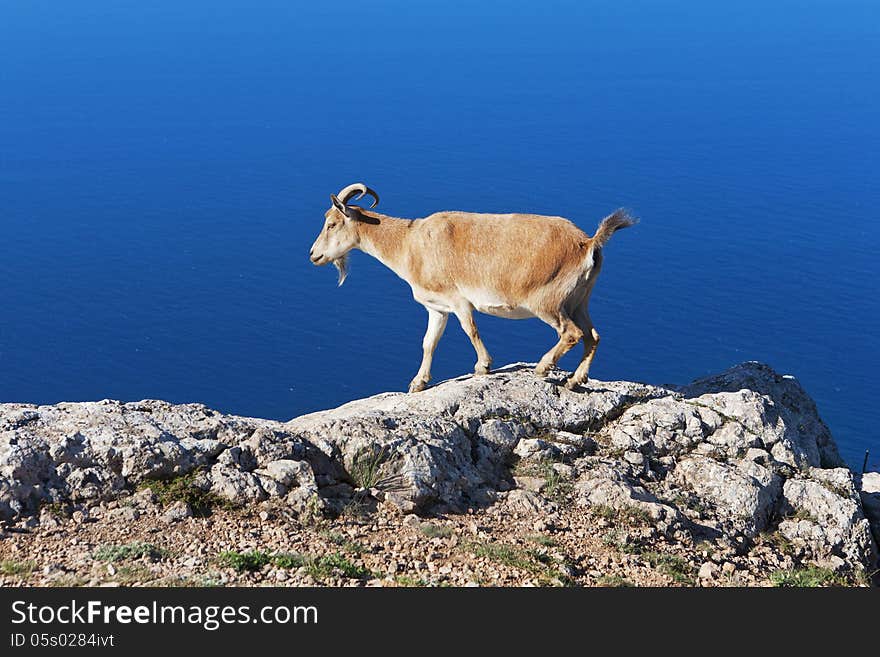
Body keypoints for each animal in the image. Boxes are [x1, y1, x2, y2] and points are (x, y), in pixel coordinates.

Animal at [310, 182, 632, 392]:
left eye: (332, 224)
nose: (314, 255)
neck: (409, 244)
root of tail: (588, 243)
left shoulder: (458, 300)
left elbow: (470, 329)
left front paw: (483, 366)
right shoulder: (437, 308)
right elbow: (429, 342)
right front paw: (418, 383)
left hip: (549, 302)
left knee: (572, 333)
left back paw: (543, 367)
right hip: (579, 300)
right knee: (593, 335)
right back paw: (576, 379)